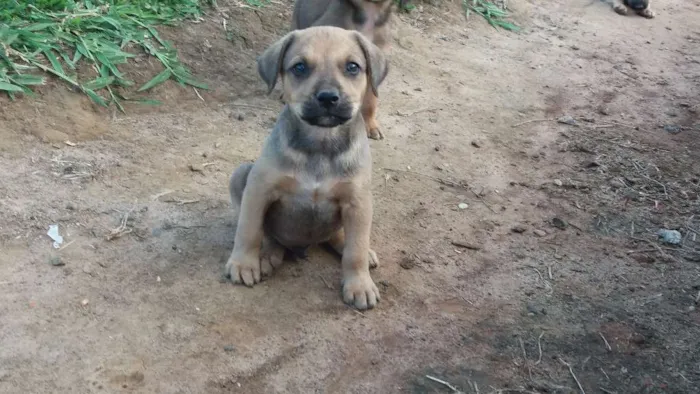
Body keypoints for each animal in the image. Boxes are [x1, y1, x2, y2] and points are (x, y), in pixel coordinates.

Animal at [226, 27, 386, 310]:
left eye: (353, 67)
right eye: (299, 67)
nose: (328, 98)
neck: (320, 144)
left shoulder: (358, 201)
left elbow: (354, 251)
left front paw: (359, 284)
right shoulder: (259, 189)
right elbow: (249, 229)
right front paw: (243, 263)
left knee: (341, 237)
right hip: (241, 173)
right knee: (269, 235)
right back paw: (267, 255)